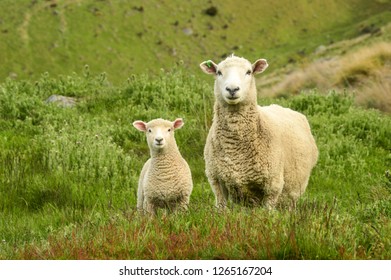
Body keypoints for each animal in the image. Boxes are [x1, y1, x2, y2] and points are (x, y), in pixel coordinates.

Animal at [201, 54, 320, 209]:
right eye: (219, 72)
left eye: (249, 72)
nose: (232, 89)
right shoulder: (216, 181)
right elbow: (221, 207)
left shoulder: (273, 186)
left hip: (294, 191)